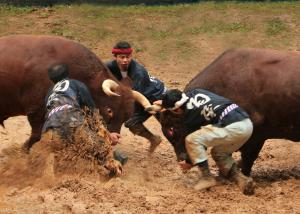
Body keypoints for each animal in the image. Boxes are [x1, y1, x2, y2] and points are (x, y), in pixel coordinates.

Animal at [0, 34, 135, 149]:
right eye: (109, 111)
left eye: (126, 117)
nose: (114, 140)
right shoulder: (36, 111)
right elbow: (36, 135)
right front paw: (24, 150)